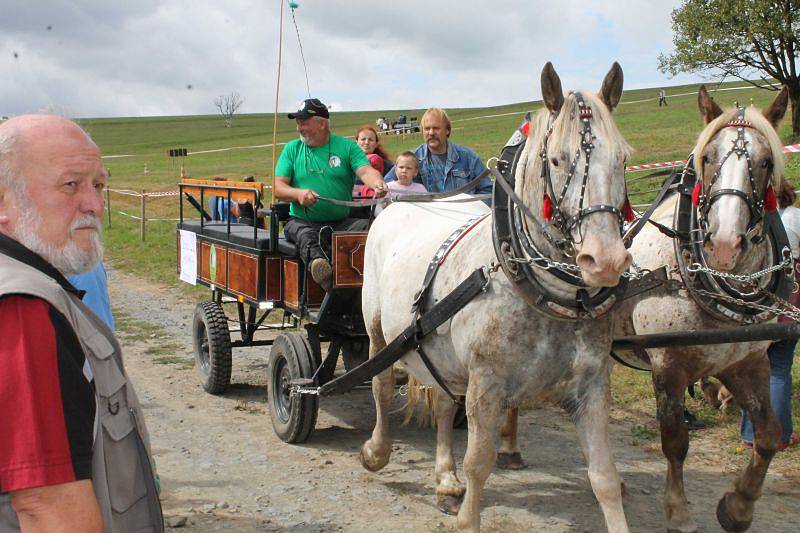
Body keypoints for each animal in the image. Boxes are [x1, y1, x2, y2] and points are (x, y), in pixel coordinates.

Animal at [360, 63, 636, 532]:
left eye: (621, 159)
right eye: (558, 159)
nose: (606, 260)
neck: (545, 296)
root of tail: (397, 202)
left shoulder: (591, 386)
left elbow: (603, 476)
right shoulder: (486, 386)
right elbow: (479, 464)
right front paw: (467, 516)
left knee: (441, 401)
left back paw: (444, 476)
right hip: (378, 329)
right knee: (379, 384)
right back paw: (377, 451)